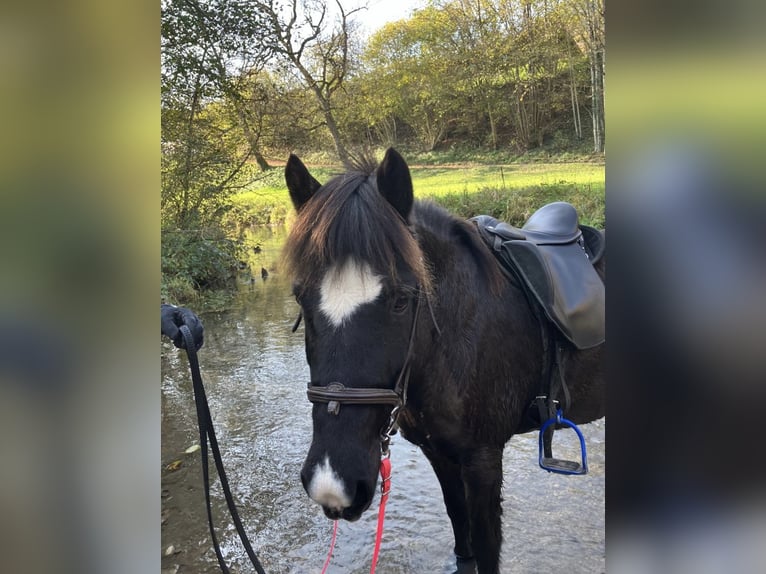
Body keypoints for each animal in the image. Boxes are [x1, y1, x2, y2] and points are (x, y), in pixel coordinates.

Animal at [282, 148, 604, 573]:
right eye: (301, 296)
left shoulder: (483, 461)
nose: (333, 482)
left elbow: (485, 545)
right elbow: (459, 528)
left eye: (402, 300)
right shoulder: (439, 454)